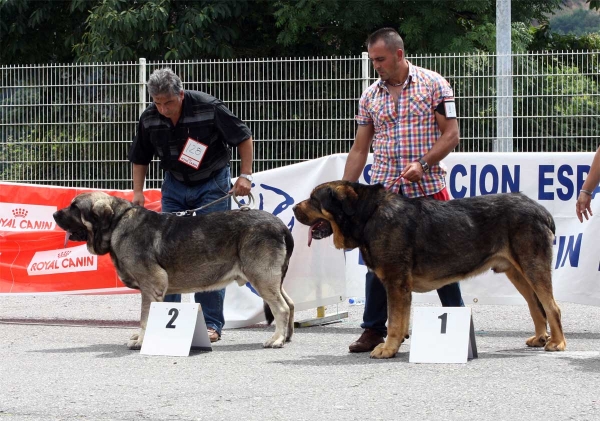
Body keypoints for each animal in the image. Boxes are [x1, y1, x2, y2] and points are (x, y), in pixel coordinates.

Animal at [55, 190, 294, 348]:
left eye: (75, 207)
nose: (55, 215)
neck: (117, 222)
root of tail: (280, 225)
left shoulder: (151, 284)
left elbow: (145, 316)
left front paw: (141, 340)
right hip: (273, 279)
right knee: (289, 303)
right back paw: (287, 336)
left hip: (262, 277)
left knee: (281, 308)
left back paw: (276, 339)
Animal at [296, 180, 568, 358]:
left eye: (314, 199)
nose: (293, 208)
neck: (368, 215)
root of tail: (540, 209)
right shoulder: (398, 286)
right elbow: (400, 320)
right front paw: (395, 344)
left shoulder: (396, 283)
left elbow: (394, 320)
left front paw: (387, 349)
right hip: (516, 271)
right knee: (536, 306)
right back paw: (540, 338)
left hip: (532, 266)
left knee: (552, 307)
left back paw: (558, 343)